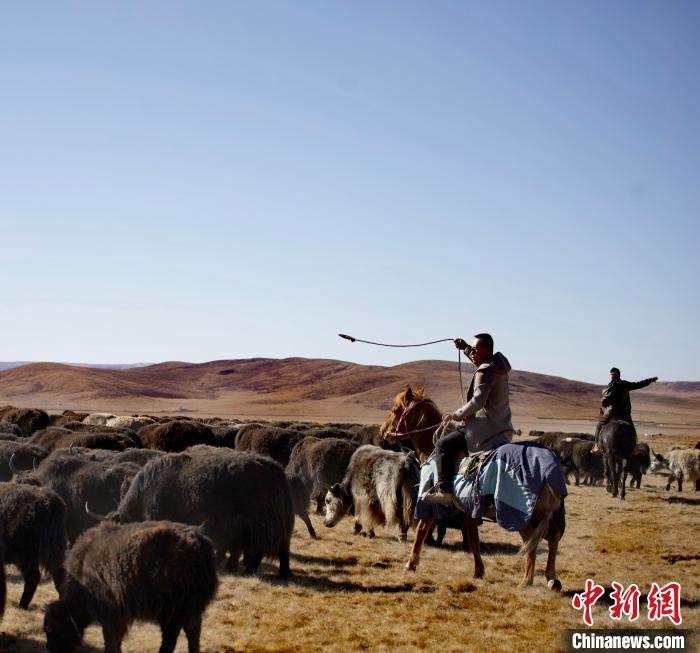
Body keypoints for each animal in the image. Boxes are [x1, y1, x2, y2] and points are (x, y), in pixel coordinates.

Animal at [380, 384, 568, 588]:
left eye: (395, 410)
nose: (383, 430)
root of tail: (546, 464)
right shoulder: (468, 508)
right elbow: (473, 538)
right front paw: (479, 571)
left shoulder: (429, 502)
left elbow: (422, 530)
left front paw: (411, 564)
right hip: (544, 512)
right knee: (553, 536)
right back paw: (552, 578)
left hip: (519, 513)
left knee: (531, 542)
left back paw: (527, 580)